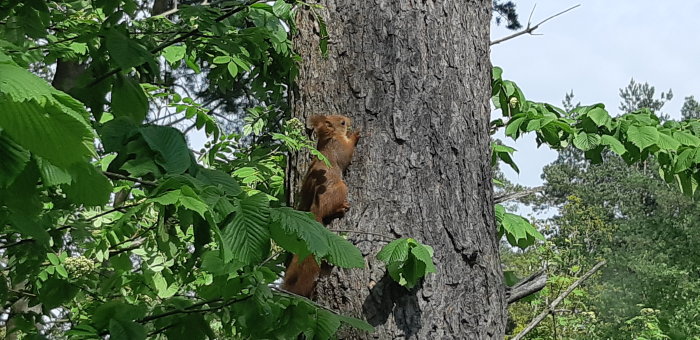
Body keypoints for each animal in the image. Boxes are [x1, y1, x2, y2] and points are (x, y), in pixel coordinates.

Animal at [282, 114, 360, 298]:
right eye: (342, 122)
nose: (349, 120)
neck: (328, 139)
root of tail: (315, 210)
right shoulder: (339, 148)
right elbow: (347, 154)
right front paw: (355, 135)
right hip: (341, 188)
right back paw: (341, 207)